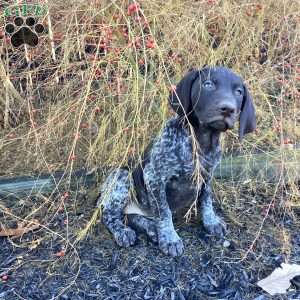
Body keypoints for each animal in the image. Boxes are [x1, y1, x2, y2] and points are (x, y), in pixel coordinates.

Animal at [97, 67, 256, 256]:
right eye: (208, 84)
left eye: (239, 92)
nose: (228, 109)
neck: (201, 142)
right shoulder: (154, 177)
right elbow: (164, 212)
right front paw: (170, 238)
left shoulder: (207, 176)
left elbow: (206, 200)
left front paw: (211, 221)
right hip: (122, 177)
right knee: (110, 214)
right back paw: (124, 231)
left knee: (133, 216)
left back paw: (151, 228)